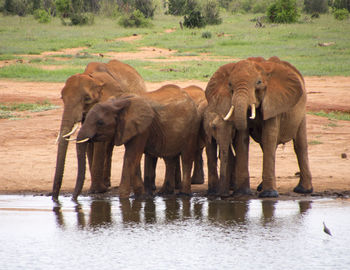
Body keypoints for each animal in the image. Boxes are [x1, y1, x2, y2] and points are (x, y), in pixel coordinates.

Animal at [72, 85, 201, 199]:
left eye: (100, 123)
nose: (74, 199)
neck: (117, 103)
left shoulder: (142, 128)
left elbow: (131, 156)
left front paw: (123, 198)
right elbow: (134, 158)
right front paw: (141, 196)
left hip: (191, 128)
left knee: (186, 158)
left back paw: (184, 194)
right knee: (169, 159)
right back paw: (164, 193)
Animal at [206, 56, 314, 197]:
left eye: (258, 82)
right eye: (229, 85)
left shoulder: (274, 102)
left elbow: (269, 136)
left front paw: (269, 194)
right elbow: (243, 138)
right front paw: (243, 193)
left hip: (301, 112)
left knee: (300, 145)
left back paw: (303, 190)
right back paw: (260, 187)